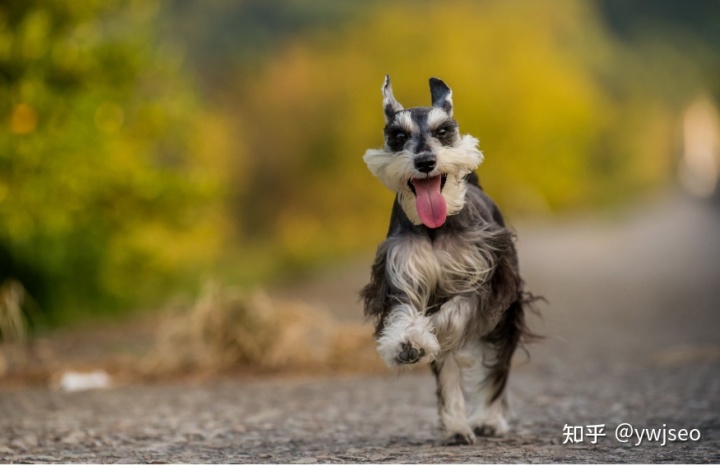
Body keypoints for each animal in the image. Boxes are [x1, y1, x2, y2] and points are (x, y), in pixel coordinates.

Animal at [362, 75, 536, 444]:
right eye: (398, 135)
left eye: (443, 131)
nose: (426, 161)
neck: (435, 227)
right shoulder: (403, 275)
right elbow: (407, 315)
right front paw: (407, 342)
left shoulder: (486, 282)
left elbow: (454, 315)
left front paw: (427, 334)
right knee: (449, 370)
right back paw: (457, 425)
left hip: (507, 314)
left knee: (497, 366)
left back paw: (488, 418)